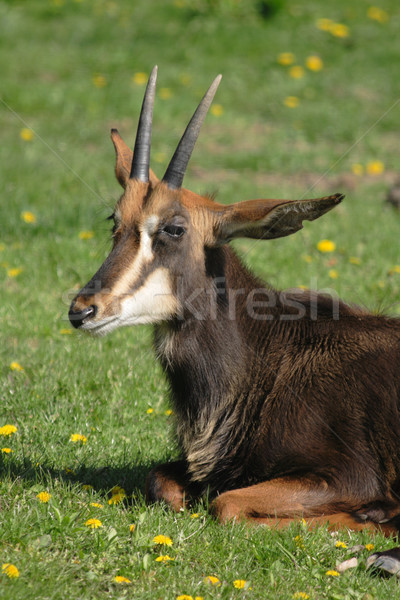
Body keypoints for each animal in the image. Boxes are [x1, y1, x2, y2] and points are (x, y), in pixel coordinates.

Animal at [69, 67, 400, 536]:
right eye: (115, 221)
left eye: (174, 228)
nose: (83, 310)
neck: (271, 357)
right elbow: (160, 480)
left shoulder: (349, 475)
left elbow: (226, 505)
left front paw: (377, 517)